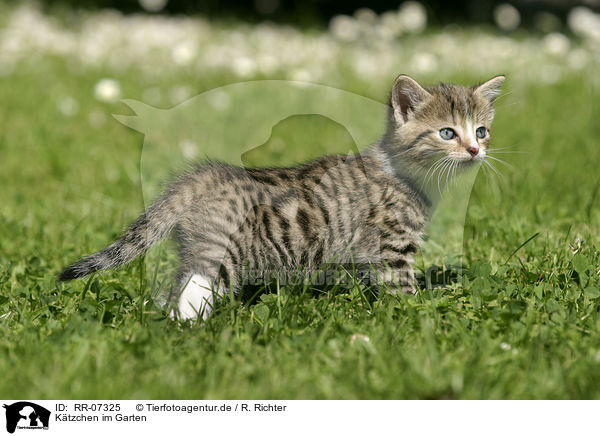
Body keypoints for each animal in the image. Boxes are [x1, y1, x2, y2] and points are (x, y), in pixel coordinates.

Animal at [58, 75, 504, 320]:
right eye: (447, 133)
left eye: (481, 131)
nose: (474, 150)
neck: (407, 173)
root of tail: (203, 176)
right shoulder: (391, 245)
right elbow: (401, 285)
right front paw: (413, 316)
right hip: (224, 253)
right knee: (193, 294)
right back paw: (185, 333)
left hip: (199, 247)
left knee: (176, 290)